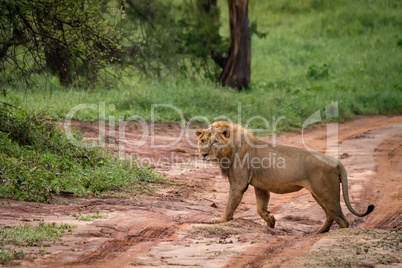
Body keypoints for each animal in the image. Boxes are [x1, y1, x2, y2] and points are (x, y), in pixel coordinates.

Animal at [196, 121, 376, 232]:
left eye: (214, 142)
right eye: (203, 140)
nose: (203, 154)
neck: (229, 151)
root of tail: (336, 161)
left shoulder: (238, 183)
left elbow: (230, 204)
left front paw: (221, 219)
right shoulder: (260, 186)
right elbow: (260, 208)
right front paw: (270, 220)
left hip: (326, 193)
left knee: (342, 219)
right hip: (318, 194)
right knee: (330, 215)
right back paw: (319, 232)